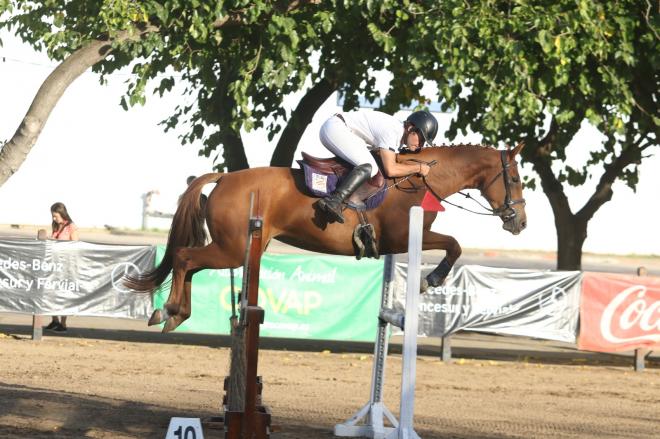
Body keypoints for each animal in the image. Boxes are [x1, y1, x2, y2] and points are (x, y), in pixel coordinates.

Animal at [127, 143, 524, 332]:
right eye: (517, 179)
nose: (520, 222)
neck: (421, 179)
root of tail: (224, 177)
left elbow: (453, 244)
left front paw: (432, 279)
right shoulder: (403, 237)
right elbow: (454, 244)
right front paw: (432, 280)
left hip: (237, 247)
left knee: (190, 264)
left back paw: (176, 314)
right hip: (233, 248)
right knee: (184, 258)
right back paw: (168, 311)